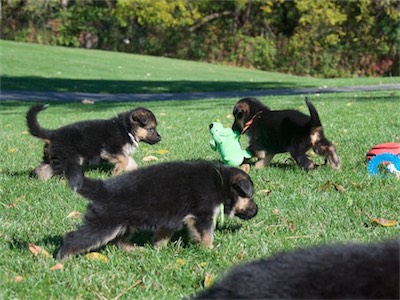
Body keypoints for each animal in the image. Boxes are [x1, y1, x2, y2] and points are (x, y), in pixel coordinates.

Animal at [25, 103, 161, 183]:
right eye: (151, 129)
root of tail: (52, 134)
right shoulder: (111, 149)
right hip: (70, 157)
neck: (127, 129)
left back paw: (42, 179)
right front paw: (116, 173)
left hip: (54, 156)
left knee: (43, 168)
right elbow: (125, 160)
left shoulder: (120, 152)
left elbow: (130, 162)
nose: (160, 138)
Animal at [58, 161, 260, 258]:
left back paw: (137, 250)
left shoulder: (176, 219)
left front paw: (159, 248)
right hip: (104, 223)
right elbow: (207, 233)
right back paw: (62, 259)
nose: (257, 210)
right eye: (249, 196)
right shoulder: (202, 215)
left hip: (123, 224)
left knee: (119, 241)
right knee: (74, 238)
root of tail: (102, 189)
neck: (220, 181)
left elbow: (164, 234)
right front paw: (209, 249)